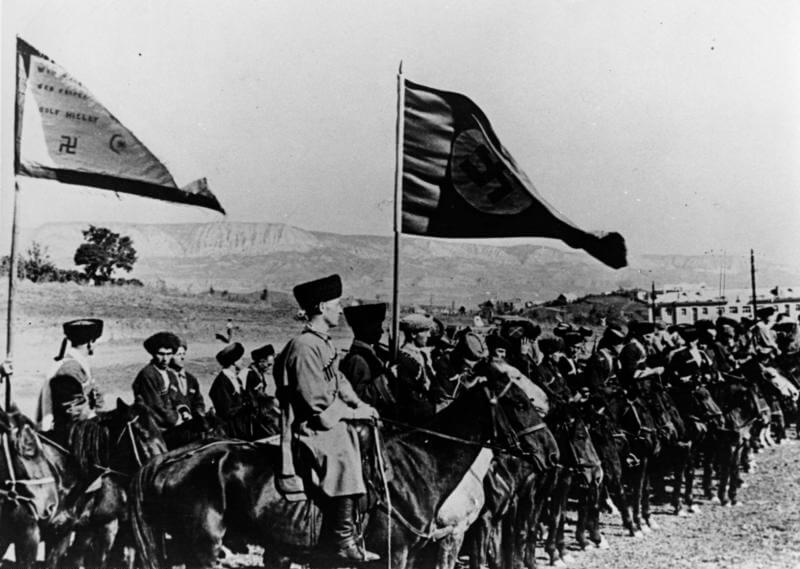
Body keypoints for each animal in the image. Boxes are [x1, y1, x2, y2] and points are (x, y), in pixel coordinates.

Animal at [130, 374, 552, 564]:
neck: (420, 465)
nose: (550, 451)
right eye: (519, 404)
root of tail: (171, 458)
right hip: (204, 548)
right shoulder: (399, 553)